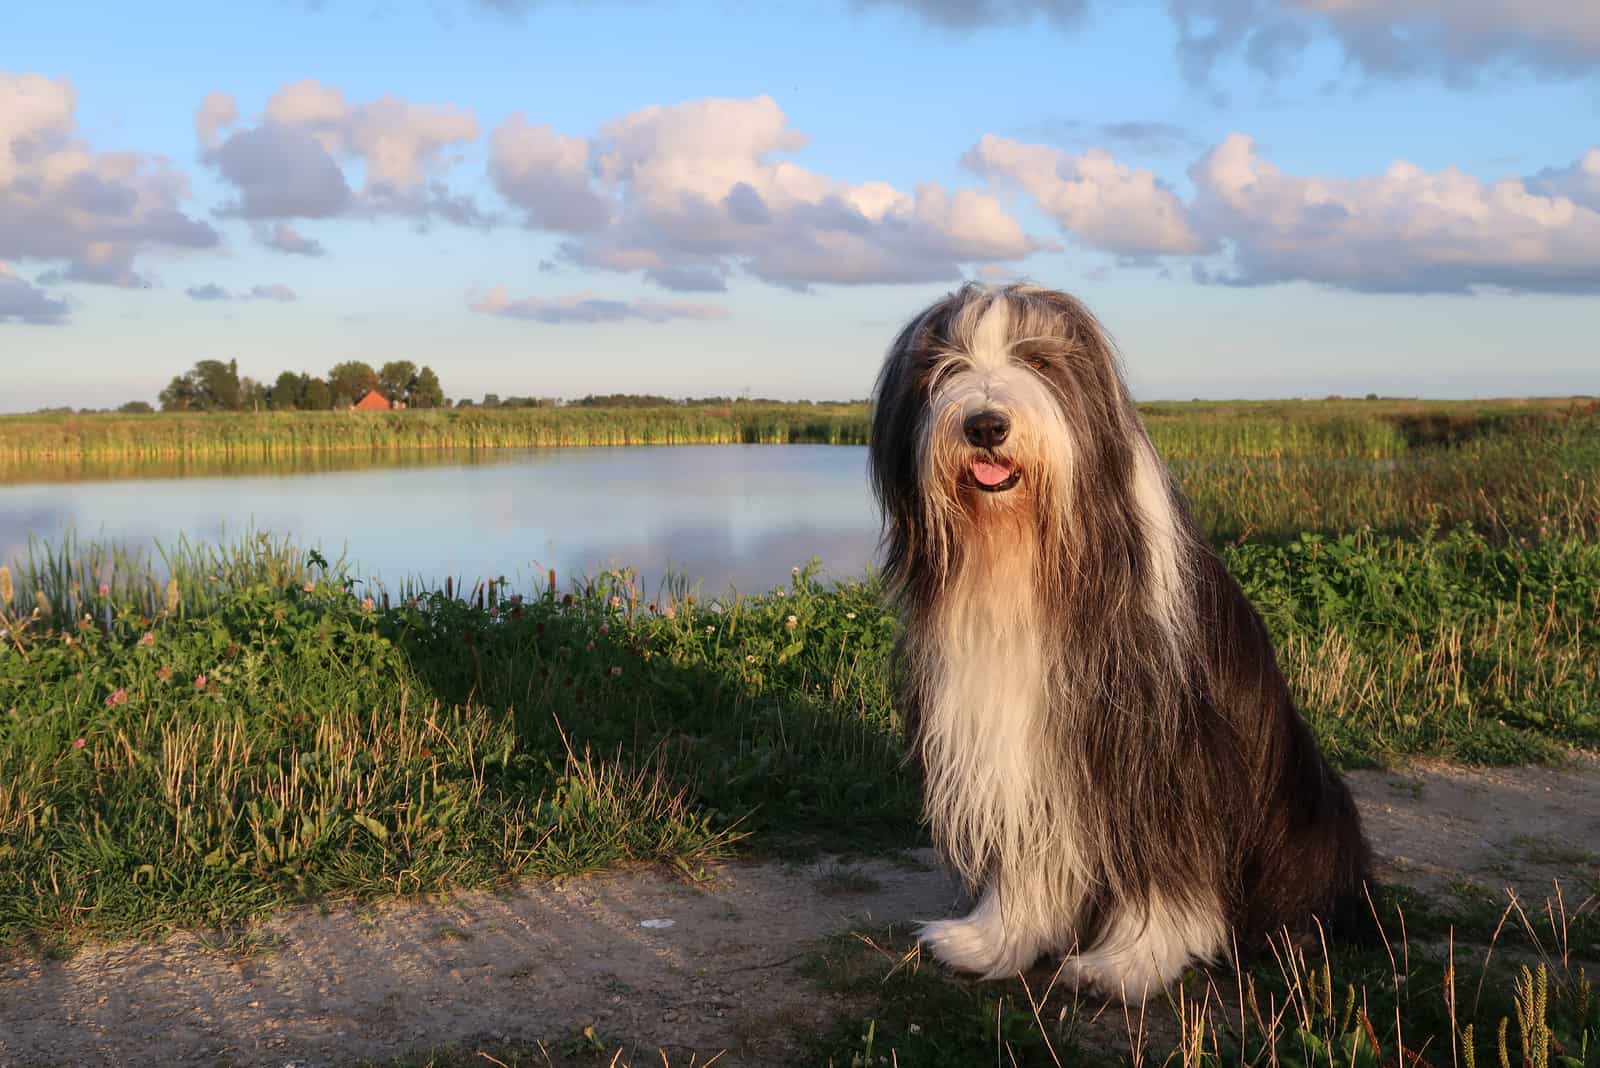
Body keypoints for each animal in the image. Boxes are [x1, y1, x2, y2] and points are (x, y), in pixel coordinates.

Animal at [870, 282, 1369, 1004]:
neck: (1032, 559)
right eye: (945, 367)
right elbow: (1028, 856)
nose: (985, 425)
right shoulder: (1016, 742)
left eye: (1039, 361)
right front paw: (993, 940)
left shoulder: (1164, 753)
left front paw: (1128, 964)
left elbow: (1166, 866)